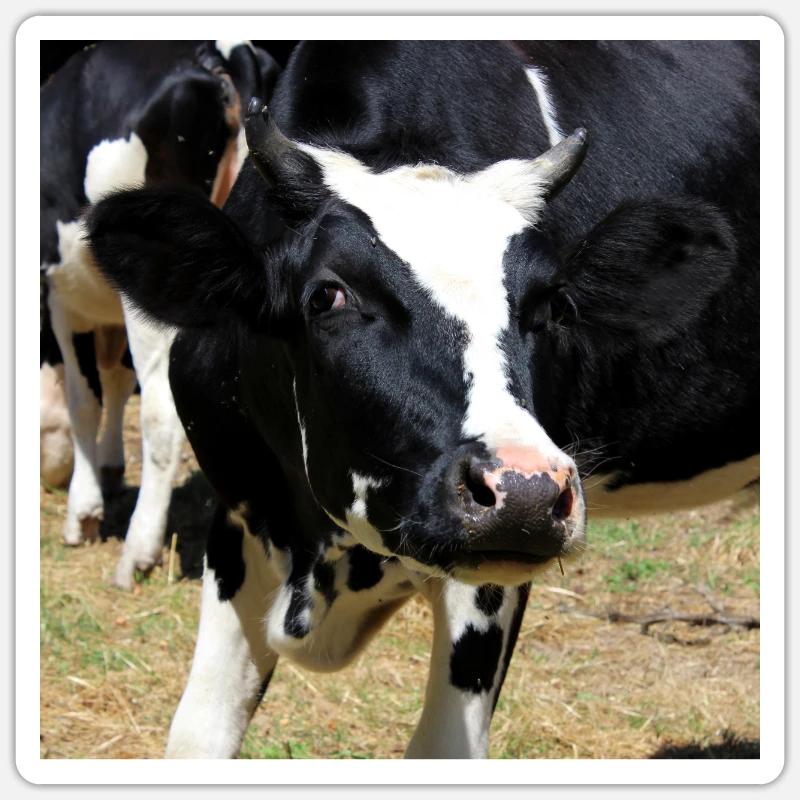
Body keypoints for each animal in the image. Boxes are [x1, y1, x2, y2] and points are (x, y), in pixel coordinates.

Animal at [40, 39, 280, 588]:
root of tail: (218, 53)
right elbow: (115, 379)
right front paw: (110, 468)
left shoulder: (63, 297)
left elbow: (85, 398)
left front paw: (83, 511)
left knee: (161, 412)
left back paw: (138, 551)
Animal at [87, 41, 759, 758]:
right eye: (328, 295)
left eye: (553, 306)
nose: (526, 491)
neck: (323, 557)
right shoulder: (241, 513)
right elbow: (197, 734)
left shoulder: (489, 580)